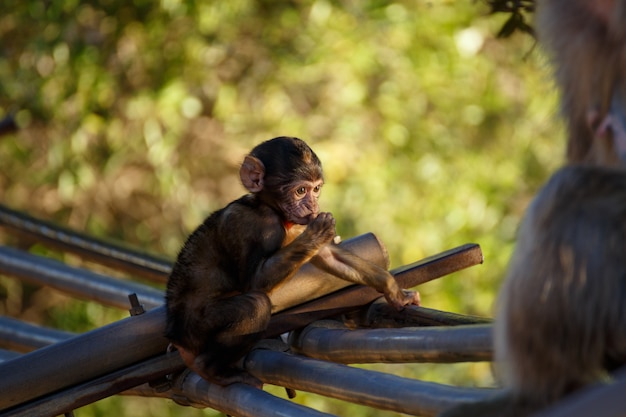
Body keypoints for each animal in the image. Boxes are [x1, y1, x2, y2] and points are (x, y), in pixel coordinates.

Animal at [166, 137, 420, 386]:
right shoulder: (247, 224)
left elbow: (331, 258)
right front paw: (319, 231)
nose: (313, 205)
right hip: (195, 327)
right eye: (300, 191)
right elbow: (254, 282)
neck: (270, 209)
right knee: (255, 305)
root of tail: (177, 338)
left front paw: (394, 290)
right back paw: (211, 370)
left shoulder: (298, 225)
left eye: (316, 189)